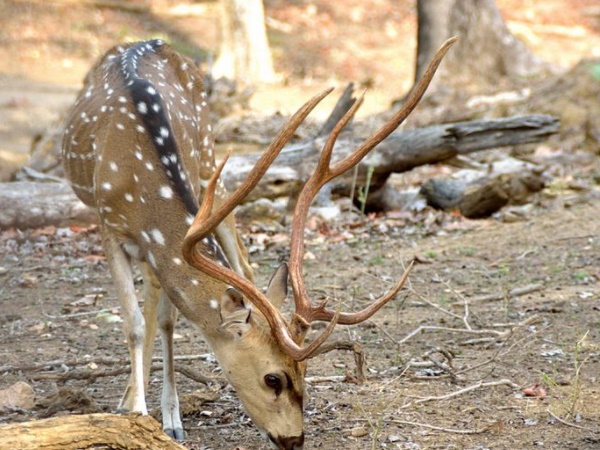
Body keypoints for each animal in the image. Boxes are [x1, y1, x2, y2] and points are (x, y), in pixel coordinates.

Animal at [61, 37, 454, 448]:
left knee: (225, 265)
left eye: (305, 370)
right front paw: (138, 413)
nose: (295, 439)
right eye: (273, 378)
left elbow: (168, 320)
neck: (140, 188)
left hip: (208, 166)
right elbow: (135, 325)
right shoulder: (107, 226)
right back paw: (127, 398)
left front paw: (170, 419)